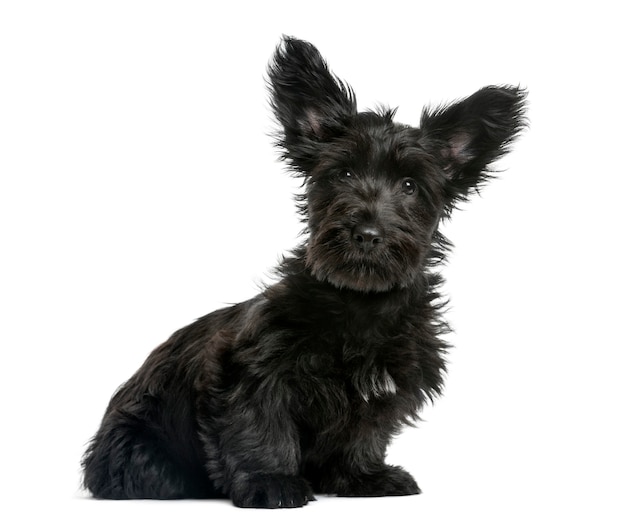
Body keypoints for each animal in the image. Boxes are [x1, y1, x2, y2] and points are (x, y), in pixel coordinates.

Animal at [80, 35, 524, 508]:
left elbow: (364, 434)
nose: (366, 234)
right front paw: (270, 481)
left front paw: (361, 477)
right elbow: (261, 427)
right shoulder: (252, 372)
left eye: (409, 185)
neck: (359, 302)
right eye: (342, 172)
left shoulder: (384, 389)